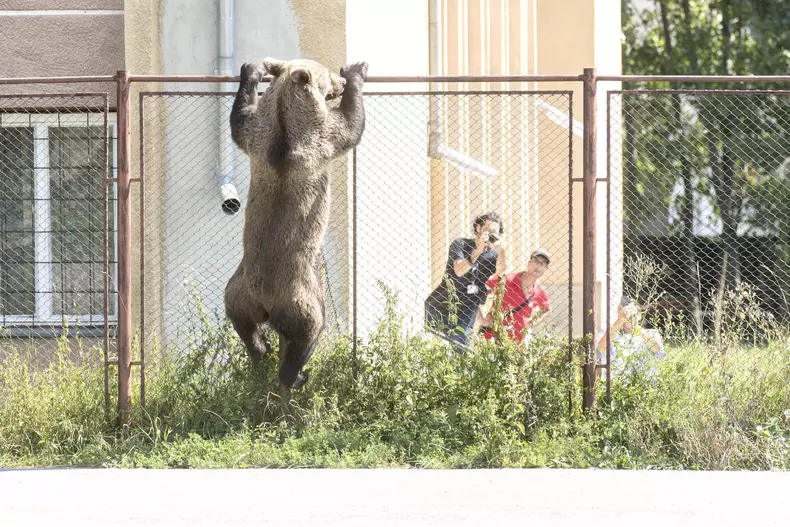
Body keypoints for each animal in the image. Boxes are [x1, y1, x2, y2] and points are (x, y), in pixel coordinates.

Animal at [224, 57, 368, 392]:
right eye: (327, 76)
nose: (339, 82)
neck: (284, 124)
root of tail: (264, 301)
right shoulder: (320, 139)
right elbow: (350, 126)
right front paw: (356, 72)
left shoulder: (259, 138)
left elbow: (240, 121)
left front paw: (251, 71)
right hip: (301, 296)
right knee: (309, 332)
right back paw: (296, 374)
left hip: (238, 289)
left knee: (241, 323)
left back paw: (262, 349)